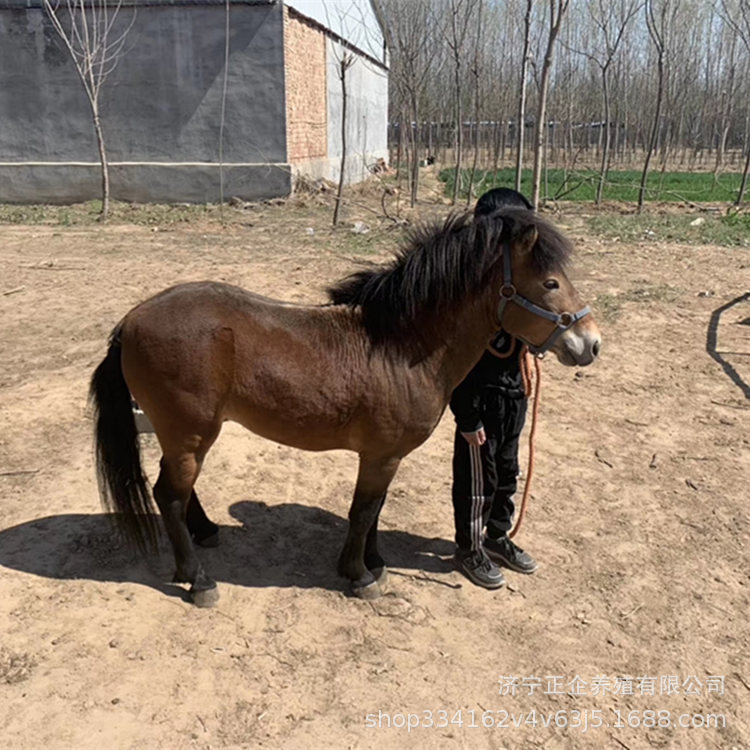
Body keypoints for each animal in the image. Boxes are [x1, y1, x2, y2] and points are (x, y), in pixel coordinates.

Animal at [89, 209, 601, 607]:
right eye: (550, 282)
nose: (591, 343)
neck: (401, 347)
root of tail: (130, 321)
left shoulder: (385, 457)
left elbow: (374, 511)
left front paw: (374, 562)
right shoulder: (379, 456)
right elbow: (362, 511)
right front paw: (359, 576)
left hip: (183, 437)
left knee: (178, 490)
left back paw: (207, 532)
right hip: (191, 435)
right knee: (169, 496)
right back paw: (198, 581)